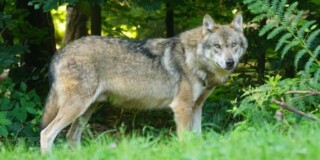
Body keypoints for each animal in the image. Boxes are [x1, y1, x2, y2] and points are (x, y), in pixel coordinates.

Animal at [40, 13, 249, 153]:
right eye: (217, 46)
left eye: (233, 45)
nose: (230, 62)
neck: (193, 58)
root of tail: (59, 52)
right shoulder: (181, 107)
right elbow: (185, 139)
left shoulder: (197, 107)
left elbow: (197, 138)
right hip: (77, 108)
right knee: (46, 134)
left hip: (87, 110)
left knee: (71, 137)